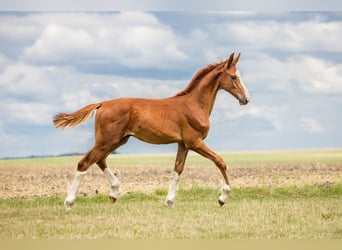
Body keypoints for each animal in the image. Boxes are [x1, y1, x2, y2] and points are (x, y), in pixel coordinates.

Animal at [54, 52, 250, 211]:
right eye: (233, 77)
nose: (246, 99)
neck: (194, 104)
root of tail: (102, 103)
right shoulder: (195, 142)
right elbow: (220, 162)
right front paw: (223, 198)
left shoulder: (183, 144)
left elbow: (178, 170)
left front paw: (170, 202)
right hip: (107, 141)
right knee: (84, 163)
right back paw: (69, 203)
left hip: (118, 140)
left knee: (100, 161)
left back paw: (114, 193)